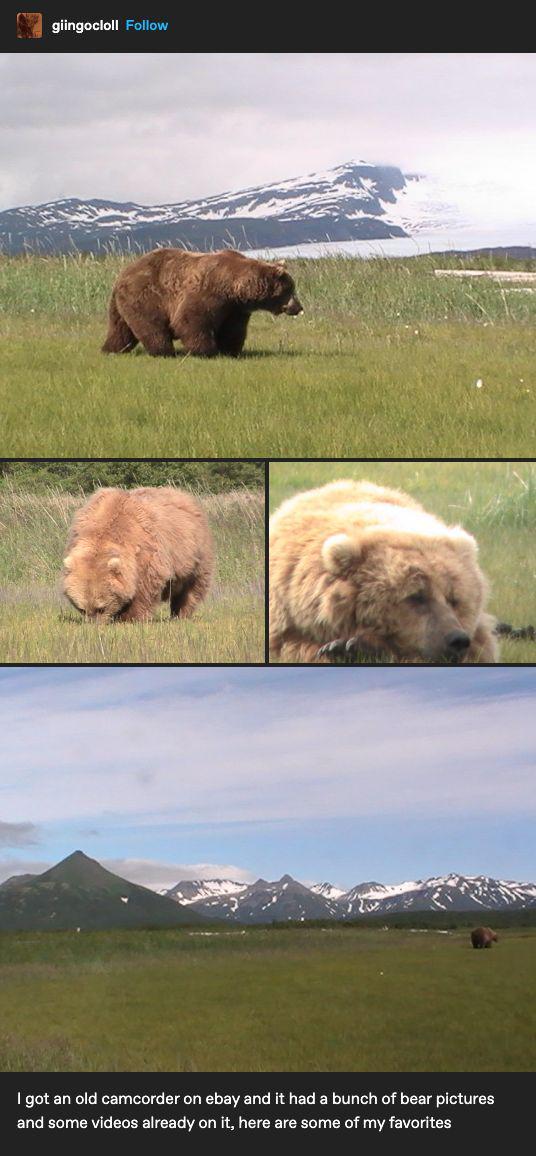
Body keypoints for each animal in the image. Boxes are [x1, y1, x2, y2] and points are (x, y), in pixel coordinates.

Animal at [62, 486, 214, 623]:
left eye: (101, 608)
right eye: (82, 609)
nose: (94, 623)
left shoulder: (145, 553)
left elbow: (144, 588)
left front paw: (130, 617)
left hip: (196, 555)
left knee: (191, 589)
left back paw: (180, 614)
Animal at [102, 248, 303, 358]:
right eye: (290, 289)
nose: (299, 307)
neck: (234, 288)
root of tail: (121, 275)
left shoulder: (235, 309)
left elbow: (233, 330)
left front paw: (230, 351)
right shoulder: (208, 294)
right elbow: (191, 320)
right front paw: (206, 351)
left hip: (121, 305)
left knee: (120, 329)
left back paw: (111, 349)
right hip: (146, 297)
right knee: (152, 326)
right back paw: (164, 351)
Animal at [269, 480, 498, 665]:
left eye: (454, 599)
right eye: (416, 596)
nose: (456, 640)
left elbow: (481, 649)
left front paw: (355, 647)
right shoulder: (287, 617)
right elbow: (295, 647)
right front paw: (345, 648)